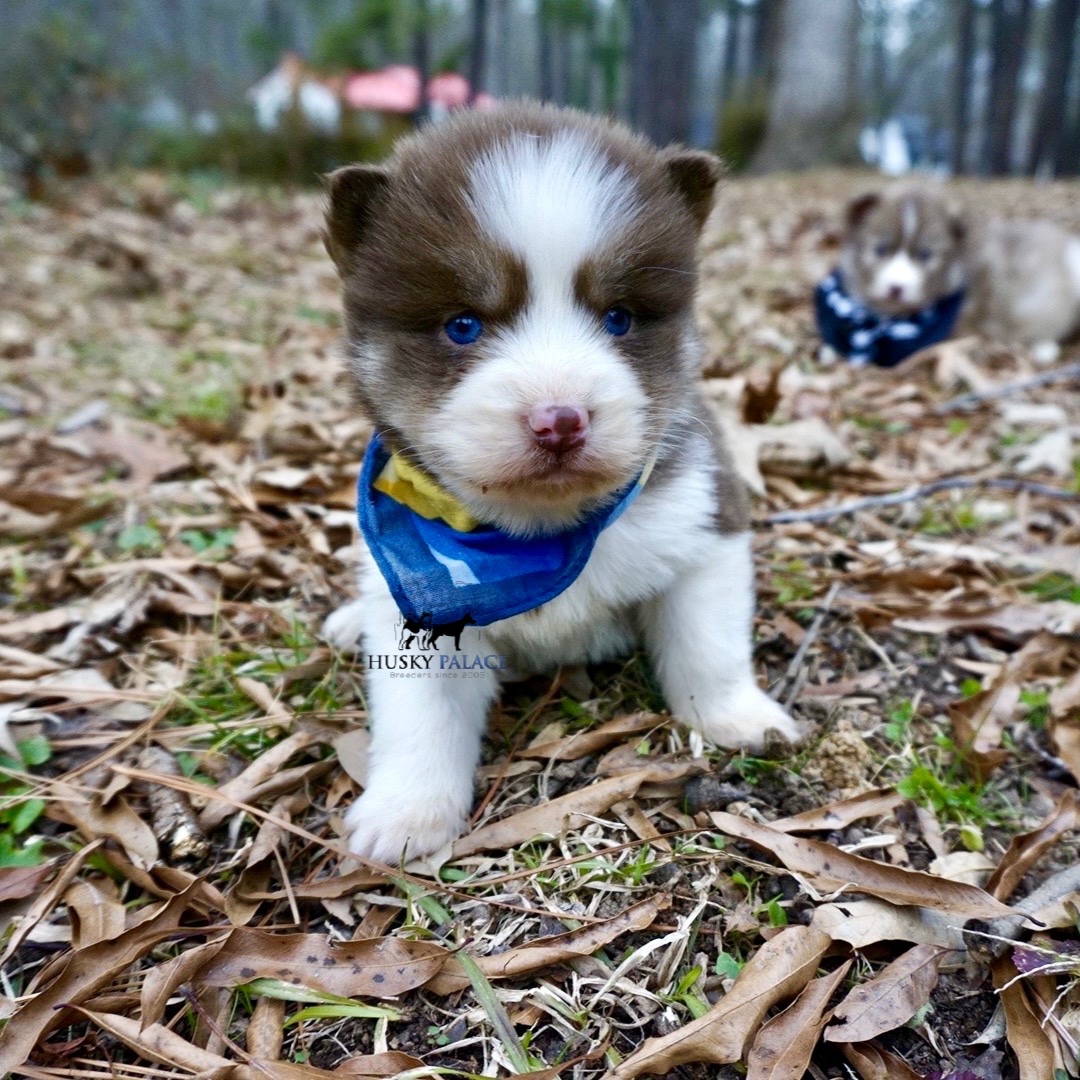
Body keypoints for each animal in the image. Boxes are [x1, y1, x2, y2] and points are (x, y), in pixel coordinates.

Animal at [319, 101, 794, 859]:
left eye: (619, 318)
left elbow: (708, 646)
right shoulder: (420, 606)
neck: (536, 533)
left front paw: (736, 716)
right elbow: (422, 711)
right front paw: (407, 809)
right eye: (462, 325)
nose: (560, 420)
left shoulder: (704, 519)